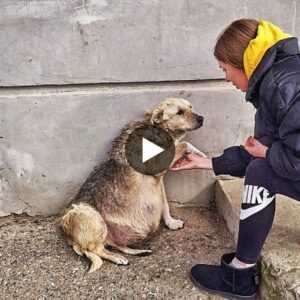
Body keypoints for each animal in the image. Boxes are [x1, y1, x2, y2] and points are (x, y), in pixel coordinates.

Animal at [59, 98, 205, 272]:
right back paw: (117, 258)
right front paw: (200, 153)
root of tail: (70, 237)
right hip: (90, 216)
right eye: (179, 112)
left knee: (114, 245)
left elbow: (164, 204)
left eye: (190, 107)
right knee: (95, 249)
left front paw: (171, 222)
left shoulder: (159, 181)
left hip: (108, 233)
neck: (158, 129)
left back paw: (138, 252)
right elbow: (185, 143)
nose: (202, 118)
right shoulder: (158, 164)